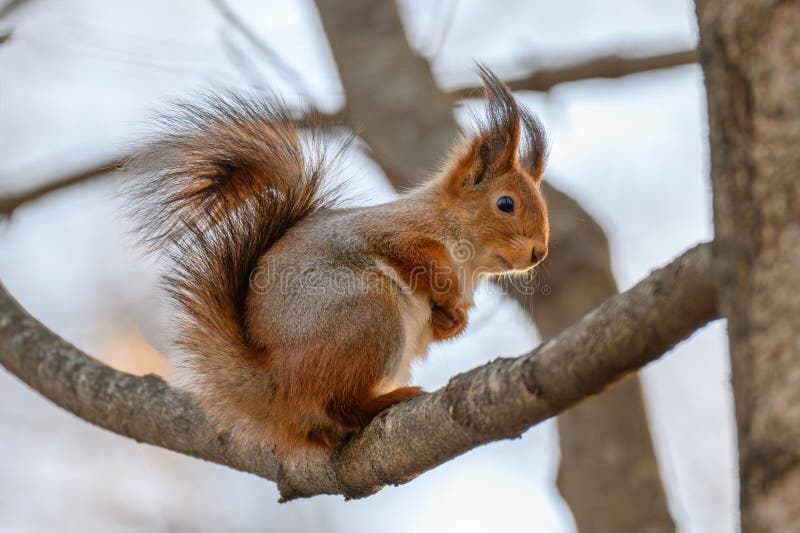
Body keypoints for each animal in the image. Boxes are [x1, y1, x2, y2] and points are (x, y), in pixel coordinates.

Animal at [125, 66, 549, 455]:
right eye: (505, 203)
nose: (539, 252)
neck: (470, 262)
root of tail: (278, 385)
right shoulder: (393, 231)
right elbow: (415, 257)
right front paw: (445, 289)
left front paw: (454, 320)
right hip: (368, 311)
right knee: (342, 406)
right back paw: (388, 399)